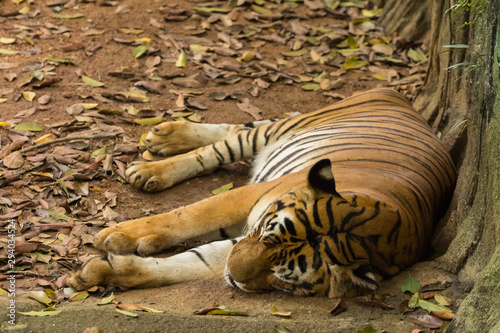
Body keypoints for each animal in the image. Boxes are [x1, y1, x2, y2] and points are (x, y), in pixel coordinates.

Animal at [68, 87, 456, 296]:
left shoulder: (239, 246)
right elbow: (188, 215)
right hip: (282, 129)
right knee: (228, 140)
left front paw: (101, 272)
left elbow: (188, 263)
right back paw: (154, 159)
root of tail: (397, 96)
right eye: (268, 235)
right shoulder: (252, 196)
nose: (233, 275)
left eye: (283, 276)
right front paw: (118, 235)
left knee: (234, 131)